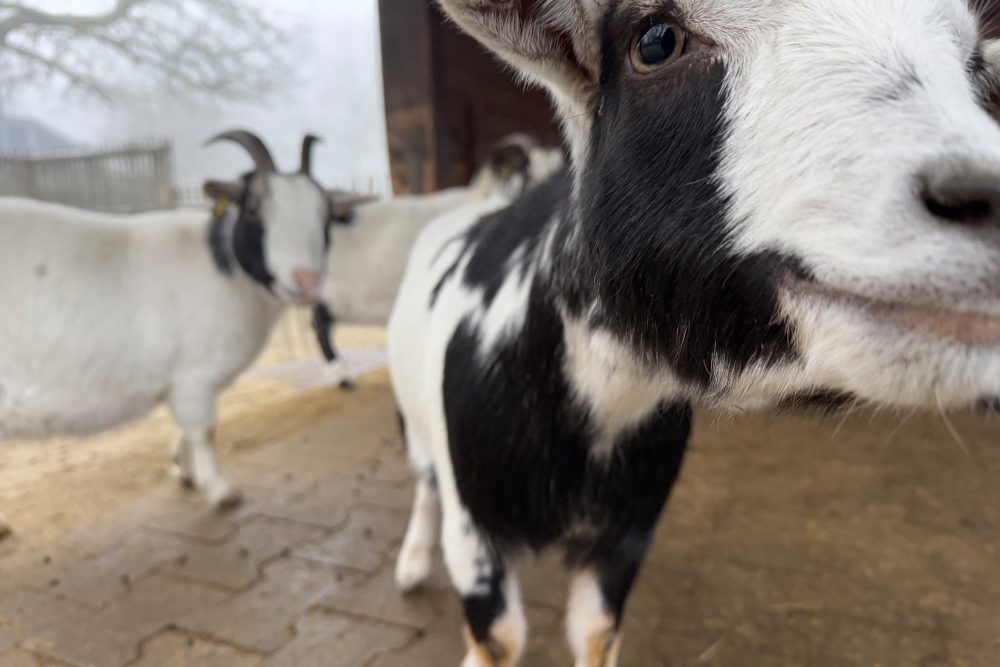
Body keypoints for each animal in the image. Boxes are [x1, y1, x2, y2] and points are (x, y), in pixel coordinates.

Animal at [388, 2, 1000, 664]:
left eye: (973, 62)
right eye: (655, 41)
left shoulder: (628, 534)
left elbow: (597, 632)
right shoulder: (475, 533)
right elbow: (499, 639)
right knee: (423, 478)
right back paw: (411, 564)